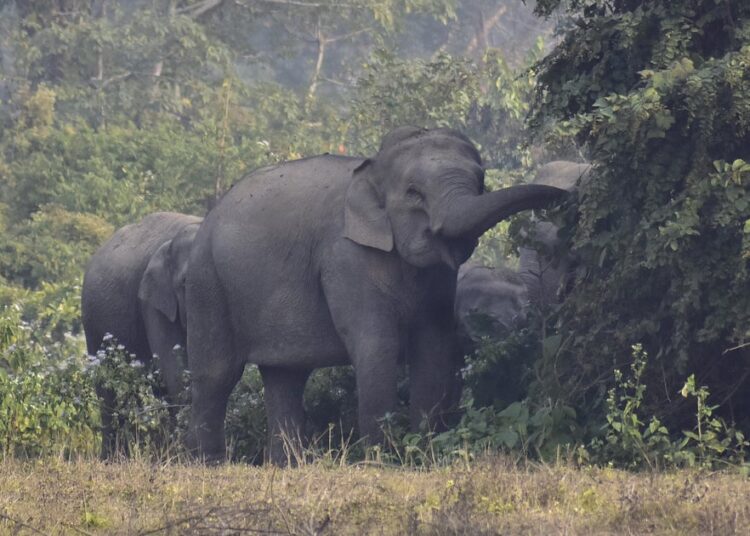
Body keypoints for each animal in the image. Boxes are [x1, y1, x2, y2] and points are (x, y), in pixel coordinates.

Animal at [81, 211, 201, 458]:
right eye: (186, 282)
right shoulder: (153, 303)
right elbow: (175, 369)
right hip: (92, 321)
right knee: (107, 386)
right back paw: (113, 457)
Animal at [184, 126, 567, 464]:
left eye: (481, 181)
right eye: (413, 192)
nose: (565, 198)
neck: (372, 170)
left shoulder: (441, 279)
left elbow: (433, 345)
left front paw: (422, 454)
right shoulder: (344, 257)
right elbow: (376, 344)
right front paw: (381, 460)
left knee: (286, 376)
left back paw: (286, 465)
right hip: (207, 282)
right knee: (217, 373)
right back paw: (211, 464)